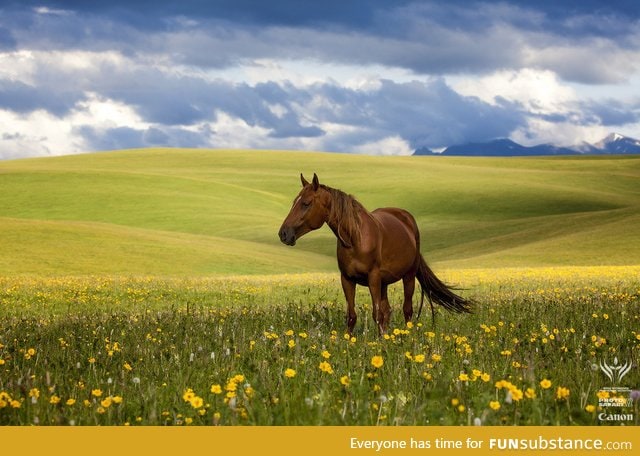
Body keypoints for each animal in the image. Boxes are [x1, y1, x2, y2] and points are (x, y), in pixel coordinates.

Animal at [276, 173, 470, 334]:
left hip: (408, 276)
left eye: (306, 203)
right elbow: (352, 316)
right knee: (388, 311)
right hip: (384, 283)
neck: (355, 239)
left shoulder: (373, 278)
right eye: (294, 202)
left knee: (406, 310)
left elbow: (377, 315)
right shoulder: (347, 279)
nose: (283, 234)